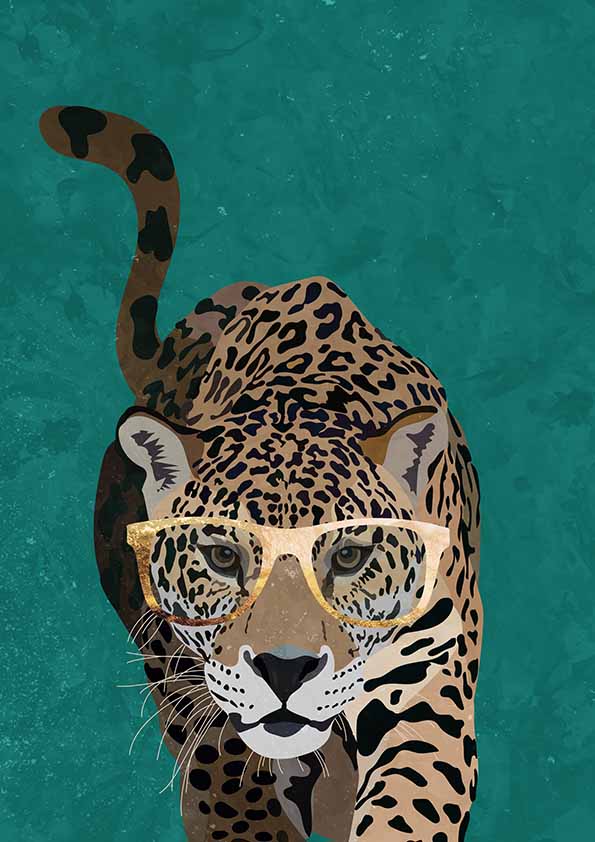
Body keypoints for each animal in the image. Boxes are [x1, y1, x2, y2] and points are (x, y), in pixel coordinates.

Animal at [40, 105, 482, 842]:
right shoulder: (198, 694)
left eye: (350, 556)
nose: (285, 668)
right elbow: (232, 791)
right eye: (221, 556)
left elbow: (410, 803)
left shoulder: (427, 684)